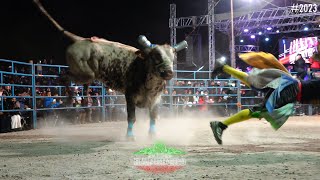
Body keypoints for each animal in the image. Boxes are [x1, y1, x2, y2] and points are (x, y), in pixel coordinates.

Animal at [32, 0, 188, 139]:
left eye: (173, 57)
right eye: (155, 56)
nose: (168, 72)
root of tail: (81, 40)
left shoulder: (156, 98)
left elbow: (153, 116)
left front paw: (152, 135)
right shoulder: (130, 96)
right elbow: (131, 117)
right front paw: (129, 136)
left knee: (68, 79)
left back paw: (79, 98)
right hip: (85, 73)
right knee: (63, 76)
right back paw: (70, 99)